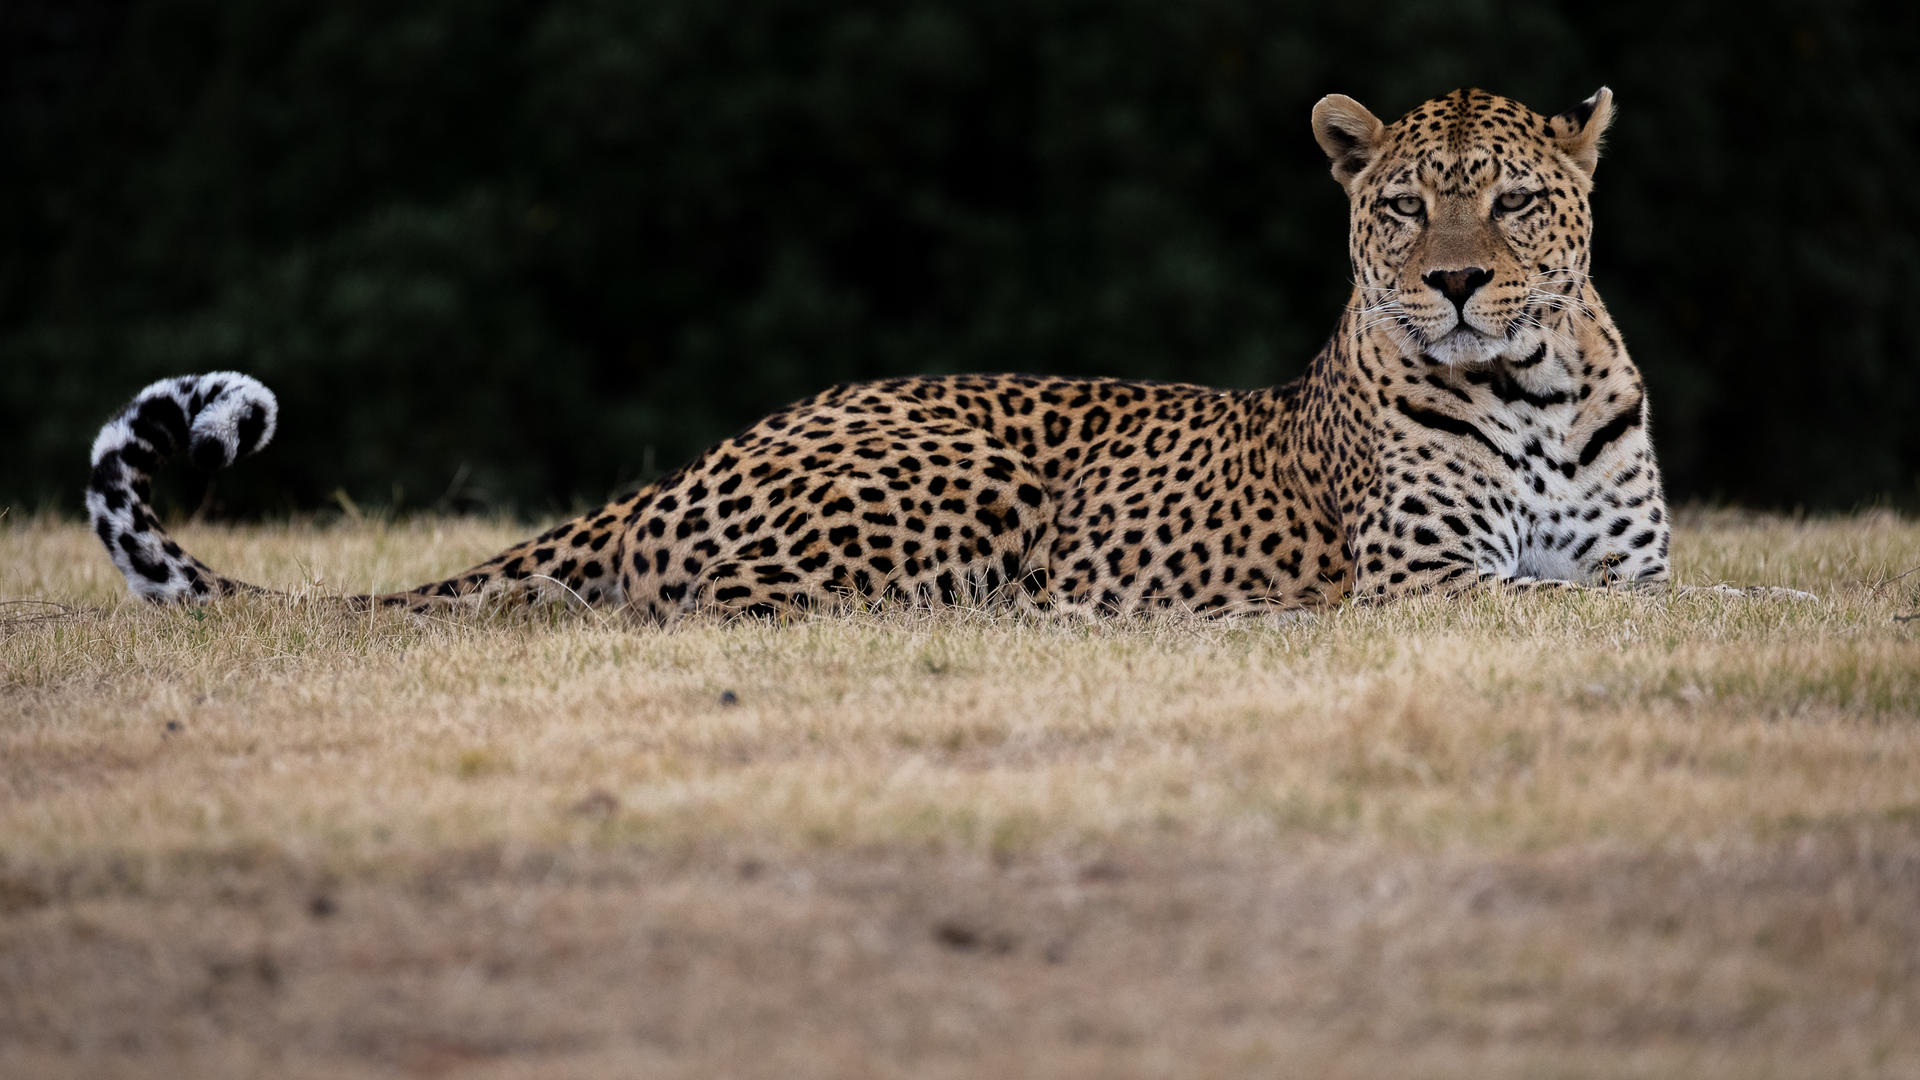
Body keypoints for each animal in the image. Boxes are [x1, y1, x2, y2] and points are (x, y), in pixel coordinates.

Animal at [88, 87, 1697, 621]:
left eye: (1516, 200)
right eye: (1406, 207)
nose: (1461, 283)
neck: (1538, 392)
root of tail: (706, 458)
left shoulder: (1624, 561)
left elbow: (1684, 590)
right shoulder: (1431, 585)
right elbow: (1601, 609)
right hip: (933, 488)